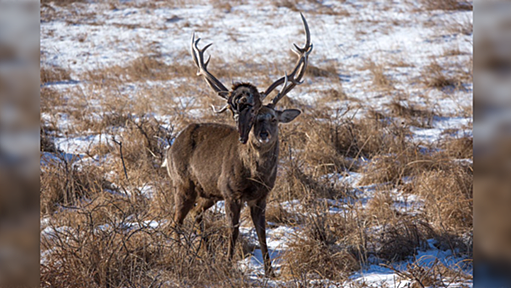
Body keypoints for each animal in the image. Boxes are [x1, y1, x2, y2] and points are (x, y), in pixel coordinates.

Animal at [166, 12, 314, 276]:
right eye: (254, 118)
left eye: (274, 118)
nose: (263, 134)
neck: (255, 176)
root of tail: (172, 146)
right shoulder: (231, 193)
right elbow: (233, 232)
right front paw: (228, 264)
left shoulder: (261, 197)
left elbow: (263, 234)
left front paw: (270, 272)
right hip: (183, 184)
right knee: (175, 221)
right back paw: (181, 255)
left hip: (208, 192)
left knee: (196, 214)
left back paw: (204, 254)